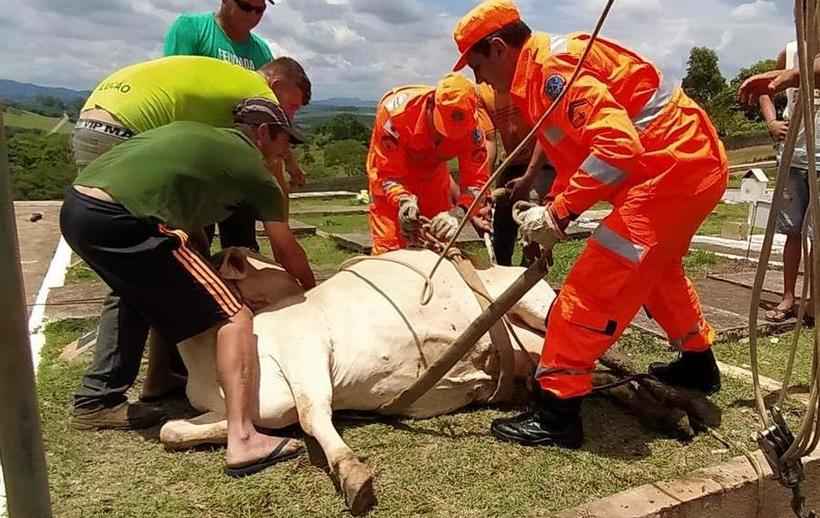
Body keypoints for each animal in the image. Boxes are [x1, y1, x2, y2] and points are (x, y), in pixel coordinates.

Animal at [159, 250, 556, 516]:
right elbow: (171, 431)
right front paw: (279, 444)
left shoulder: (305, 346)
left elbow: (312, 414)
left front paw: (351, 473)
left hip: (534, 302)